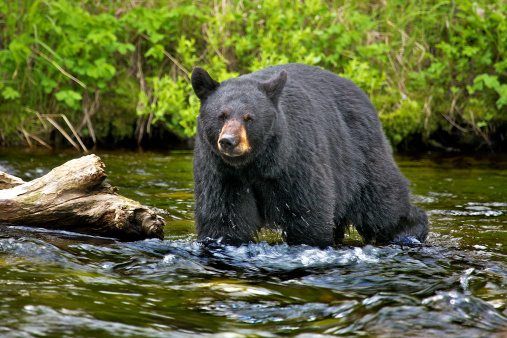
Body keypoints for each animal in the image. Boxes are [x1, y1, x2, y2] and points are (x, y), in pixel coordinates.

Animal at [190, 64, 428, 248]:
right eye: (221, 115)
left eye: (249, 117)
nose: (229, 141)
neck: (256, 165)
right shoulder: (222, 174)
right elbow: (225, 217)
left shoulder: (295, 161)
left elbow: (307, 212)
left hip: (361, 156)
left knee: (383, 204)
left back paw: (409, 231)